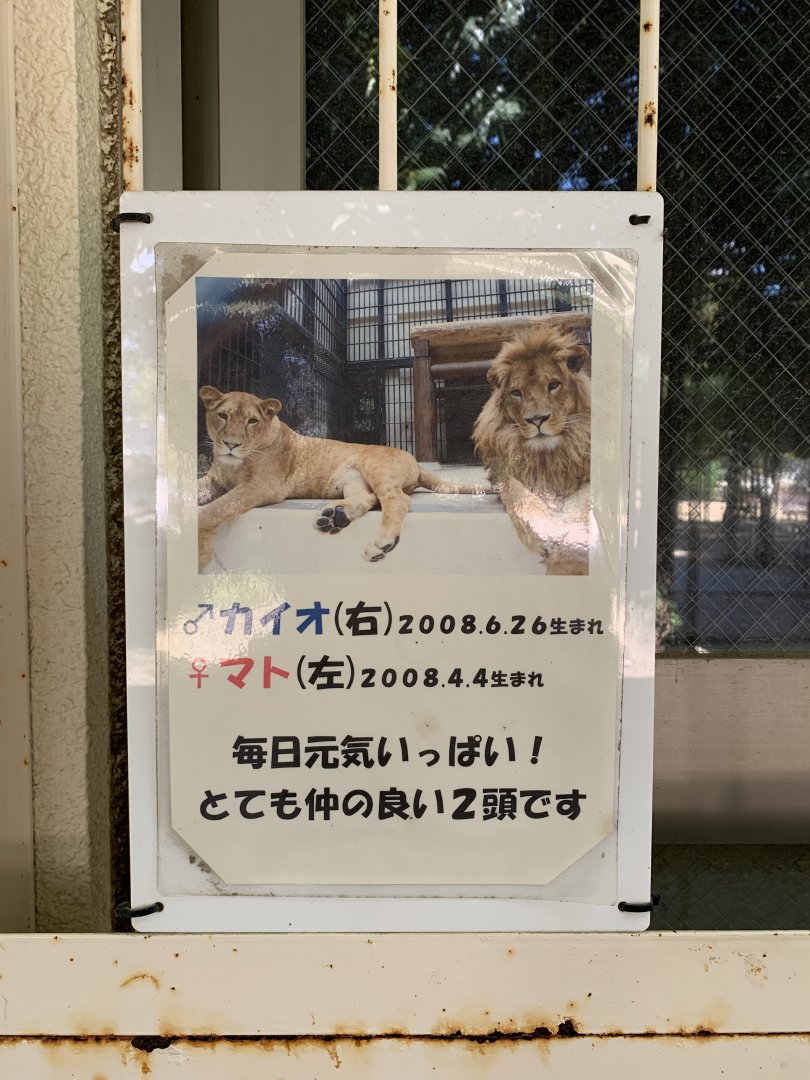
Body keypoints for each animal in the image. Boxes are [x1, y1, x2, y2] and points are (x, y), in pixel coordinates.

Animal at [197, 386, 486, 571]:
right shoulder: (215, 480)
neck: (233, 465)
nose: (231, 444)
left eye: (252, 421)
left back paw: (381, 544)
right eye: (222, 415)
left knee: (397, 499)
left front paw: (201, 553)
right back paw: (335, 517)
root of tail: (415, 462)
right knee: (369, 497)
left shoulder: (263, 486)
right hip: (352, 479)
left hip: (375, 466)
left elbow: (214, 510)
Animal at [472, 325, 592, 575]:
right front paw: (544, 532)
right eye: (516, 392)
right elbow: (518, 493)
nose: (537, 420)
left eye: (553, 385)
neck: (547, 456)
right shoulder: (503, 473)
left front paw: (567, 557)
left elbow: (580, 504)